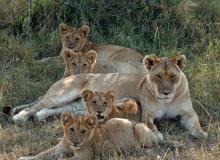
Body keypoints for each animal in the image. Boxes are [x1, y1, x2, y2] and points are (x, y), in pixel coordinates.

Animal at [17, 112, 158, 160]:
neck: (71, 146)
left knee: (153, 147)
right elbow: (41, 154)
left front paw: (62, 158)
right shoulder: (58, 149)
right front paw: (24, 157)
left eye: (83, 131)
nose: (76, 143)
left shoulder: (85, 156)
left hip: (139, 127)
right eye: (72, 129)